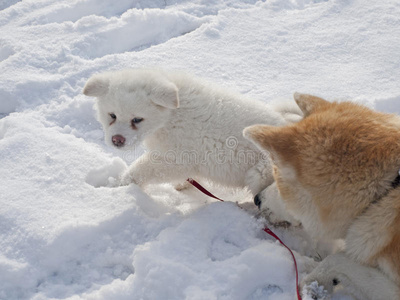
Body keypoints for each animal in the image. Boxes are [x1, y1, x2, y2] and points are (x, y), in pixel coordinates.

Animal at [83, 68, 300, 195]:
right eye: (112, 115)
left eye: (137, 119)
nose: (117, 140)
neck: (170, 117)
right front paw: (183, 184)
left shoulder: (175, 159)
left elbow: (140, 169)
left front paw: (120, 187)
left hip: (261, 173)